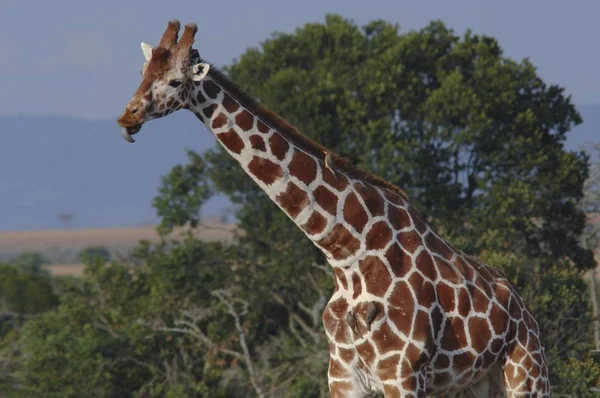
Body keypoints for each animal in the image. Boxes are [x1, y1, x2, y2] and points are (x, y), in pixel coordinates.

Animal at [117, 20, 552, 396]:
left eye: (175, 80)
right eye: (142, 72)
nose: (127, 116)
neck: (348, 255)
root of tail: (525, 312)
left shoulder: (402, 374)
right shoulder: (342, 376)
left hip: (526, 375)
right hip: (465, 386)